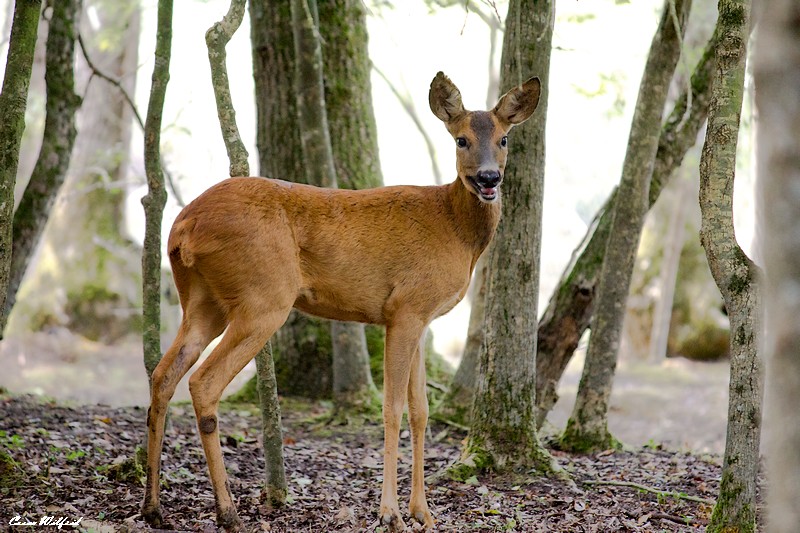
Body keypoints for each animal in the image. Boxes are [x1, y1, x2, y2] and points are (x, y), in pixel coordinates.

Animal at [141, 69, 540, 528]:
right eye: (461, 140)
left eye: (504, 139)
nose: (489, 178)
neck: (454, 227)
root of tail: (182, 228)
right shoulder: (404, 308)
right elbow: (392, 408)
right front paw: (390, 514)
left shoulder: (422, 318)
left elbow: (421, 410)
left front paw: (423, 513)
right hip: (264, 297)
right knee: (203, 382)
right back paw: (227, 513)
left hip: (203, 300)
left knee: (163, 375)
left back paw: (153, 507)